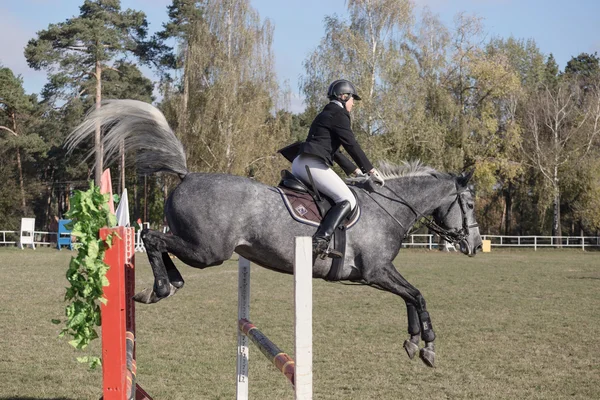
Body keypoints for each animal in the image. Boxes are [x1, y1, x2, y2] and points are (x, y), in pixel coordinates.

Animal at [68, 98, 486, 368]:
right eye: (469, 203)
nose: (474, 244)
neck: (389, 207)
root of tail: (186, 175)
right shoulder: (376, 272)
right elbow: (417, 295)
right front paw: (427, 346)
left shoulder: (381, 273)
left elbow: (413, 297)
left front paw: (415, 344)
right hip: (208, 251)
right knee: (154, 239)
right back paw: (159, 288)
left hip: (202, 248)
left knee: (161, 243)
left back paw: (167, 285)